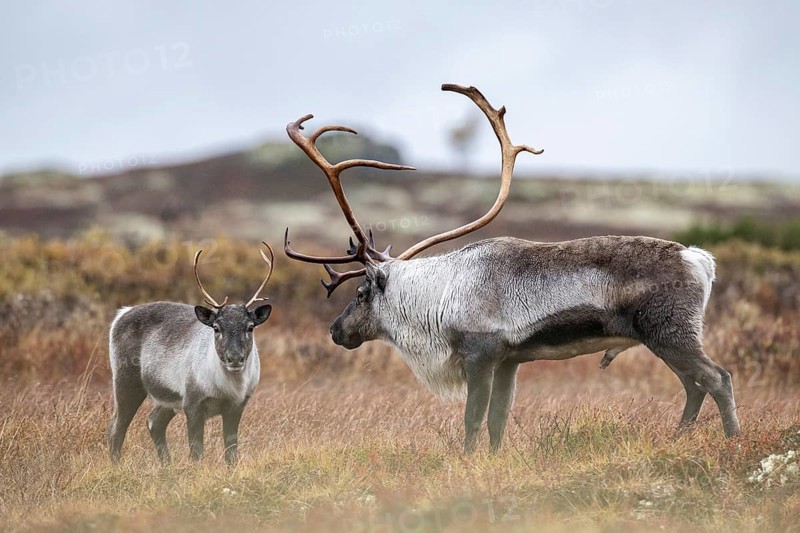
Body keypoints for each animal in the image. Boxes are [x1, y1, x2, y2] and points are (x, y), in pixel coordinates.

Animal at [108, 243, 274, 464]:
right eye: (216, 327)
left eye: (250, 327)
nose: (234, 357)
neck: (227, 388)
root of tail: (121, 313)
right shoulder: (193, 404)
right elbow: (197, 451)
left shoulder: (237, 406)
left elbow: (231, 451)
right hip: (126, 382)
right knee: (116, 427)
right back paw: (116, 465)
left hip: (168, 397)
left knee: (154, 422)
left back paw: (167, 465)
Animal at [282, 84, 741, 454]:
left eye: (360, 294)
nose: (335, 330)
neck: (438, 296)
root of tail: (699, 259)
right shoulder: (510, 360)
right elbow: (498, 421)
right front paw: (493, 460)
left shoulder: (480, 356)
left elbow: (473, 419)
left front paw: (467, 463)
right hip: (663, 338)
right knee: (694, 385)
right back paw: (678, 439)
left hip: (670, 332)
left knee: (717, 378)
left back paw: (733, 442)